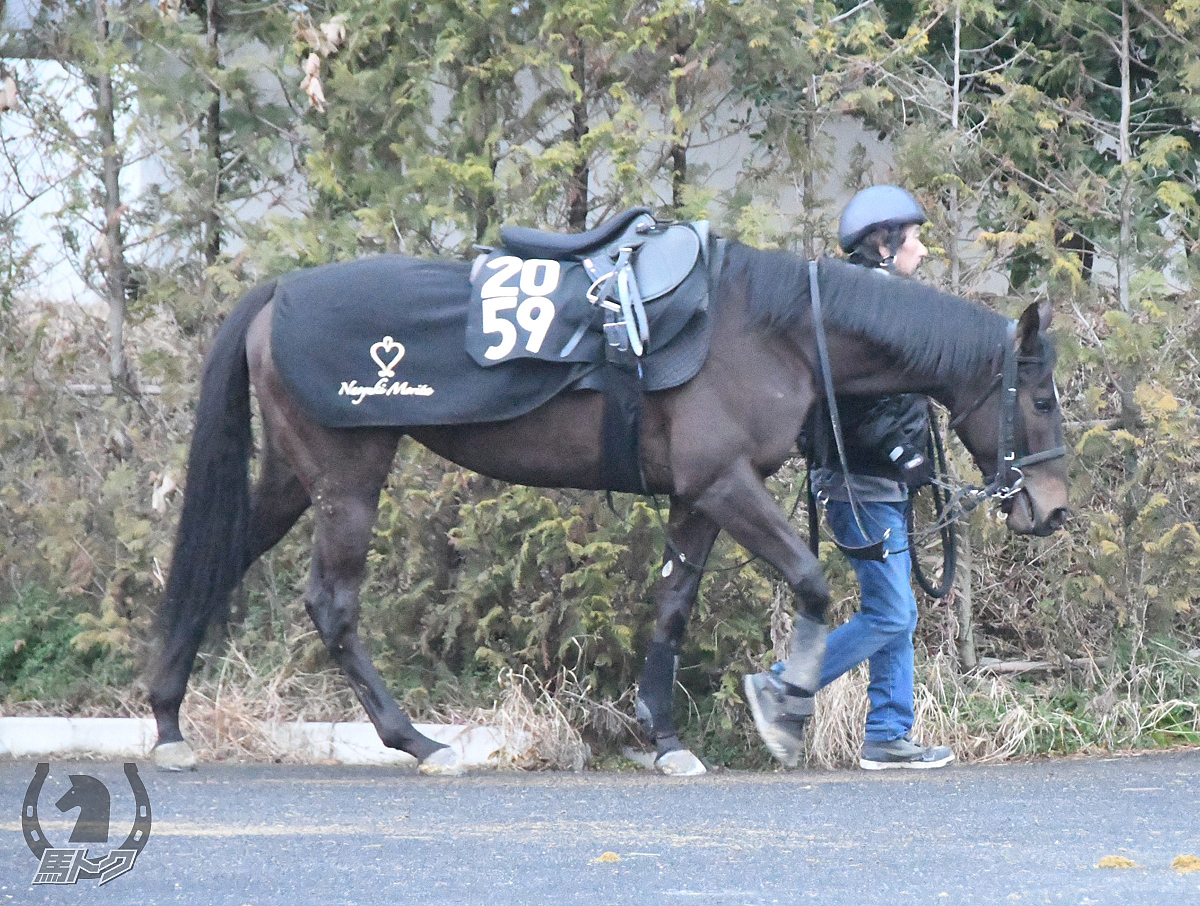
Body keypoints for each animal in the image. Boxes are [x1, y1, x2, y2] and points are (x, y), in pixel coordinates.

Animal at [147, 244, 1070, 777]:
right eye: (1043, 399)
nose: (1052, 510)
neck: (769, 328)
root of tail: (276, 293)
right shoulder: (726, 483)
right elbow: (810, 582)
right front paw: (783, 704)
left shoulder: (699, 497)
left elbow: (672, 608)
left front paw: (664, 738)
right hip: (348, 475)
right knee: (332, 605)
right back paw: (420, 741)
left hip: (294, 475)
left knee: (218, 563)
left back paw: (166, 719)